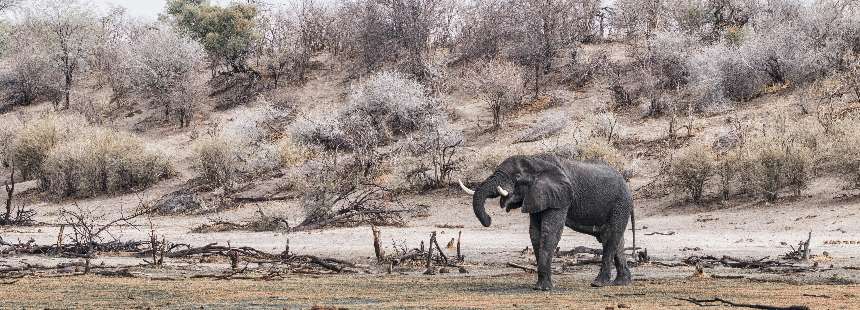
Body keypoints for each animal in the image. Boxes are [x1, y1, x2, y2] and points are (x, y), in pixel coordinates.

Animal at [460, 155, 636, 290]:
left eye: (517, 177)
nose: (489, 220)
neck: (535, 160)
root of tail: (628, 188)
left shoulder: (560, 196)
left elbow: (550, 231)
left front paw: (544, 289)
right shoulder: (537, 196)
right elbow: (535, 233)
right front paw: (540, 287)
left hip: (620, 203)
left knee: (612, 235)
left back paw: (598, 284)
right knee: (612, 238)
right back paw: (621, 283)